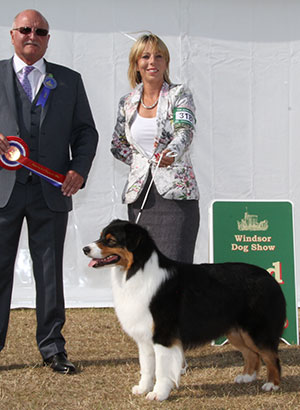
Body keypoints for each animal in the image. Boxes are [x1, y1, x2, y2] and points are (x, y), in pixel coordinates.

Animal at [82, 219, 286, 402]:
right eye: (101, 236)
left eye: (111, 240)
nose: (85, 249)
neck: (135, 270)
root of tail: (269, 277)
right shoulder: (145, 337)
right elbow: (146, 368)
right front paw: (142, 389)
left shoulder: (163, 335)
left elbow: (161, 369)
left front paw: (158, 394)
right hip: (236, 331)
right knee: (252, 354)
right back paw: (247, 377)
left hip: (257, 330)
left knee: (271, 356)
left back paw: (272, 384)